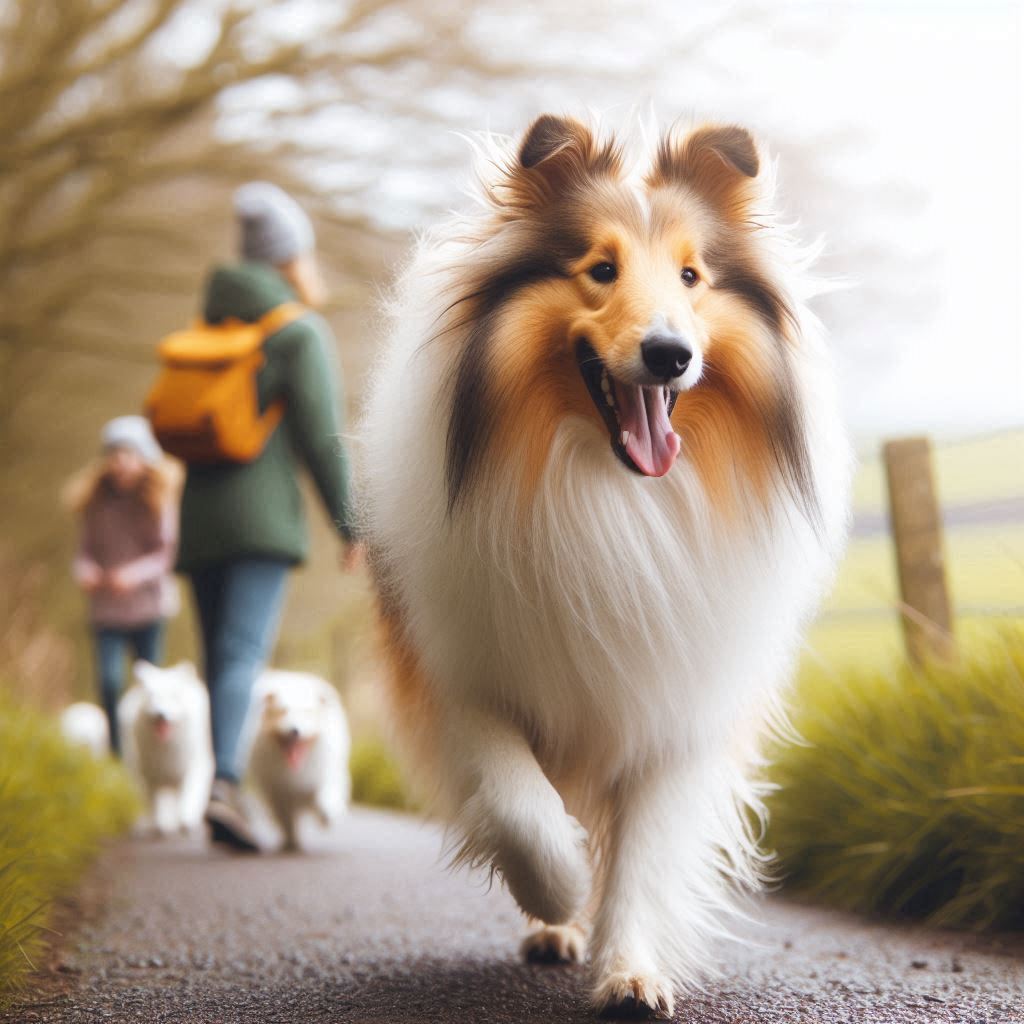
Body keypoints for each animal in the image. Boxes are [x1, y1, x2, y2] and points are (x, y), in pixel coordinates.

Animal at [118, 659, 214, 835]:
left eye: (173, 697)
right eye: (152, 698)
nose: (161, 714)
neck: (166, 748)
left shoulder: (190, 768)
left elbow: (187, 797)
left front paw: (185, 820)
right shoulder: (152, 776)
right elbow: (156, 804)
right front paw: (161, 825)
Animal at [239, 667, 352, 851]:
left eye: (307, 712)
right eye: (282, 711)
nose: (294, 730)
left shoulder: (323, 772)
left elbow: (326, 793)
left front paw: (326, 815)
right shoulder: (278, 790)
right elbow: (286, 819)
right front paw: (291, 841)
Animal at [358, 116, 847, 1019]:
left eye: (691, 275)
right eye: (601, 269)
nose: (669, 355)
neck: (609, 491)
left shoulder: (673, 704)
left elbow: (644, 856)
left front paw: (631, 973)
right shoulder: (465, 673)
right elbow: (523, 807)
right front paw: (559, 892)